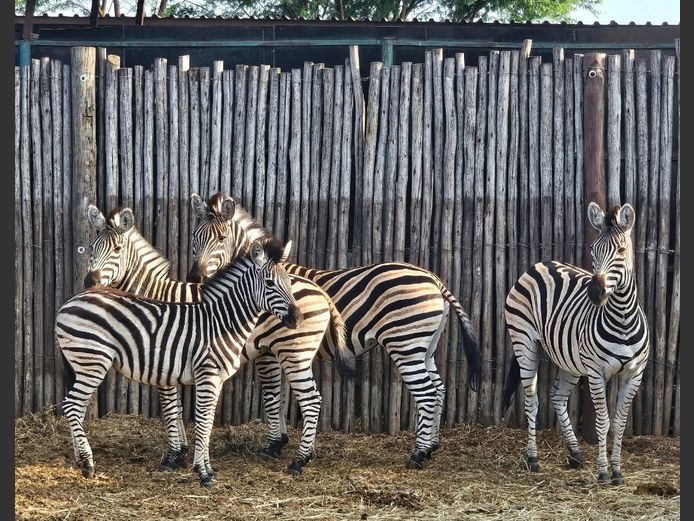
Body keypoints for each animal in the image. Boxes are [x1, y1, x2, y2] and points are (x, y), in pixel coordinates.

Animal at [56, 236, 300, 487]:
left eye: (289, 282)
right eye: (270, 283)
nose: (297, 317)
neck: (221, 322)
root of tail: (72, 299)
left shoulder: (216, 379)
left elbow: (208, 423)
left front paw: (208, 469)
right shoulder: (207, 374)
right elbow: (202, 422)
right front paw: (202, 472)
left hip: (83, 364)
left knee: (76, 407)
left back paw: (80, 460)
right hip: (92, 361)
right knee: (72, 405)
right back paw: (88, 464)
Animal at [83, 204, 349, 475]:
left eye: (117, 249)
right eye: (92, 247)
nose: (89, 282)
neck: (154, 296)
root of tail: (318, 289)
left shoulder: (163, 358)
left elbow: (170, 408)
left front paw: (172, 456)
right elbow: (178, 408)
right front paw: (183, 451)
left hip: (295, 353)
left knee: (311, 400)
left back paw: (299, 461)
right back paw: (296, 451)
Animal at [187, 192, 482, 469]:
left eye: (222, 237)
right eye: (195, 237)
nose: (194, 277)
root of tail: (433, 278)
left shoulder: (267, 349)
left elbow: (272, 396)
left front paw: (273, 445)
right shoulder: (282, 348)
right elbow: (281, 396)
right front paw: (281, 440)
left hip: (405, 344)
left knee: (427, 393)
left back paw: (418, 455)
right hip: (425, 346)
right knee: (439, 388)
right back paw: (431, 446)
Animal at [502, 202, 649, 485]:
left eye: (621, 251)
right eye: (593, 250)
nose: (595, 292)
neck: (623, 320)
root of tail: (539, 264)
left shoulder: (634, 374)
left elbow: (619, 423)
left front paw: (617, 472)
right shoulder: (596, 372)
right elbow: (603, 421)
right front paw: (603, 473)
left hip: (567, 357)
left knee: (557, 396)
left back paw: (575, 453)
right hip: (524, 342)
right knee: (532, 399)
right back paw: (533, 458)